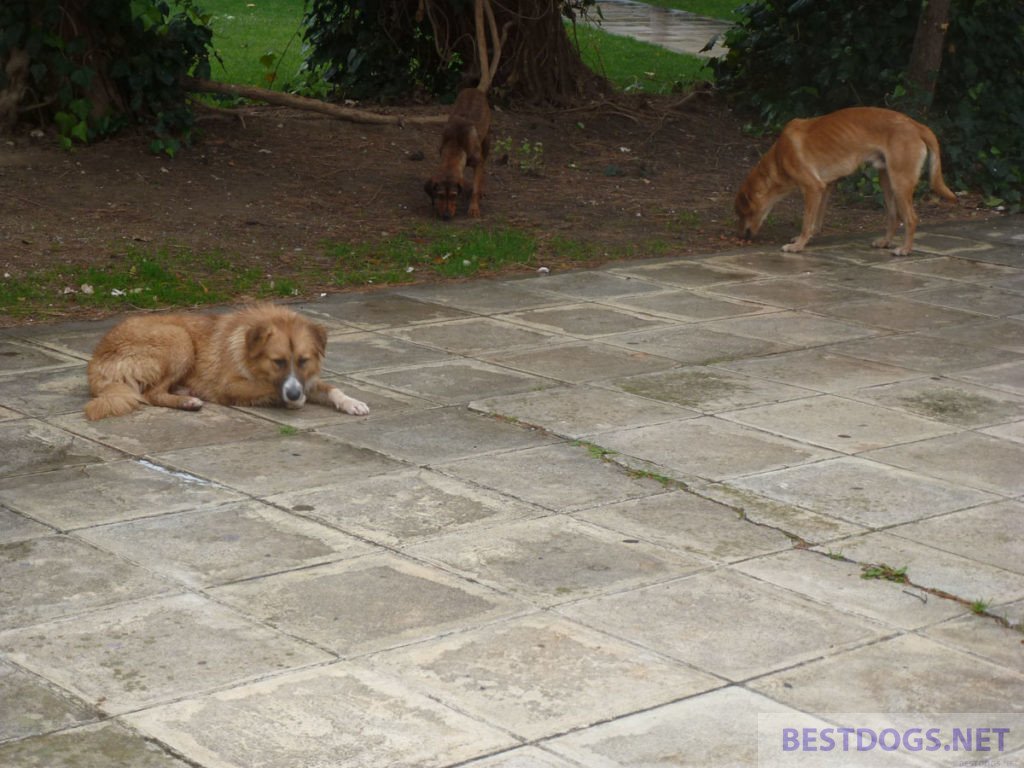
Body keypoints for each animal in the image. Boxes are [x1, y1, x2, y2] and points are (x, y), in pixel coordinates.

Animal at [84, 303, 368, 421]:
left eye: (303, 360)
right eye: (278, 361)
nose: (294, 393)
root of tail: (95, 359)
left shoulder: (305, 380)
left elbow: (331, 389)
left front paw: (352, 402)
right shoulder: (230, 386)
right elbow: (271, 389)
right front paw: (292, 401)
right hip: (179, 339)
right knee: (152, 393)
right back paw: (188, 400)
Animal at [733, 107, 954, 257]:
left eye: (743, 214)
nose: (740, 237)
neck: (779, 158)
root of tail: (916, 125)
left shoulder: (813, 188)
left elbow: (806, 221)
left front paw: (798, 245)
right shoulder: (825, 187)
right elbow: (815, 221)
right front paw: (807, 238)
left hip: (900, 183)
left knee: (911, 218)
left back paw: (905, 250)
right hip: (887, 181)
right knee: (894, 217)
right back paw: (885, 242)